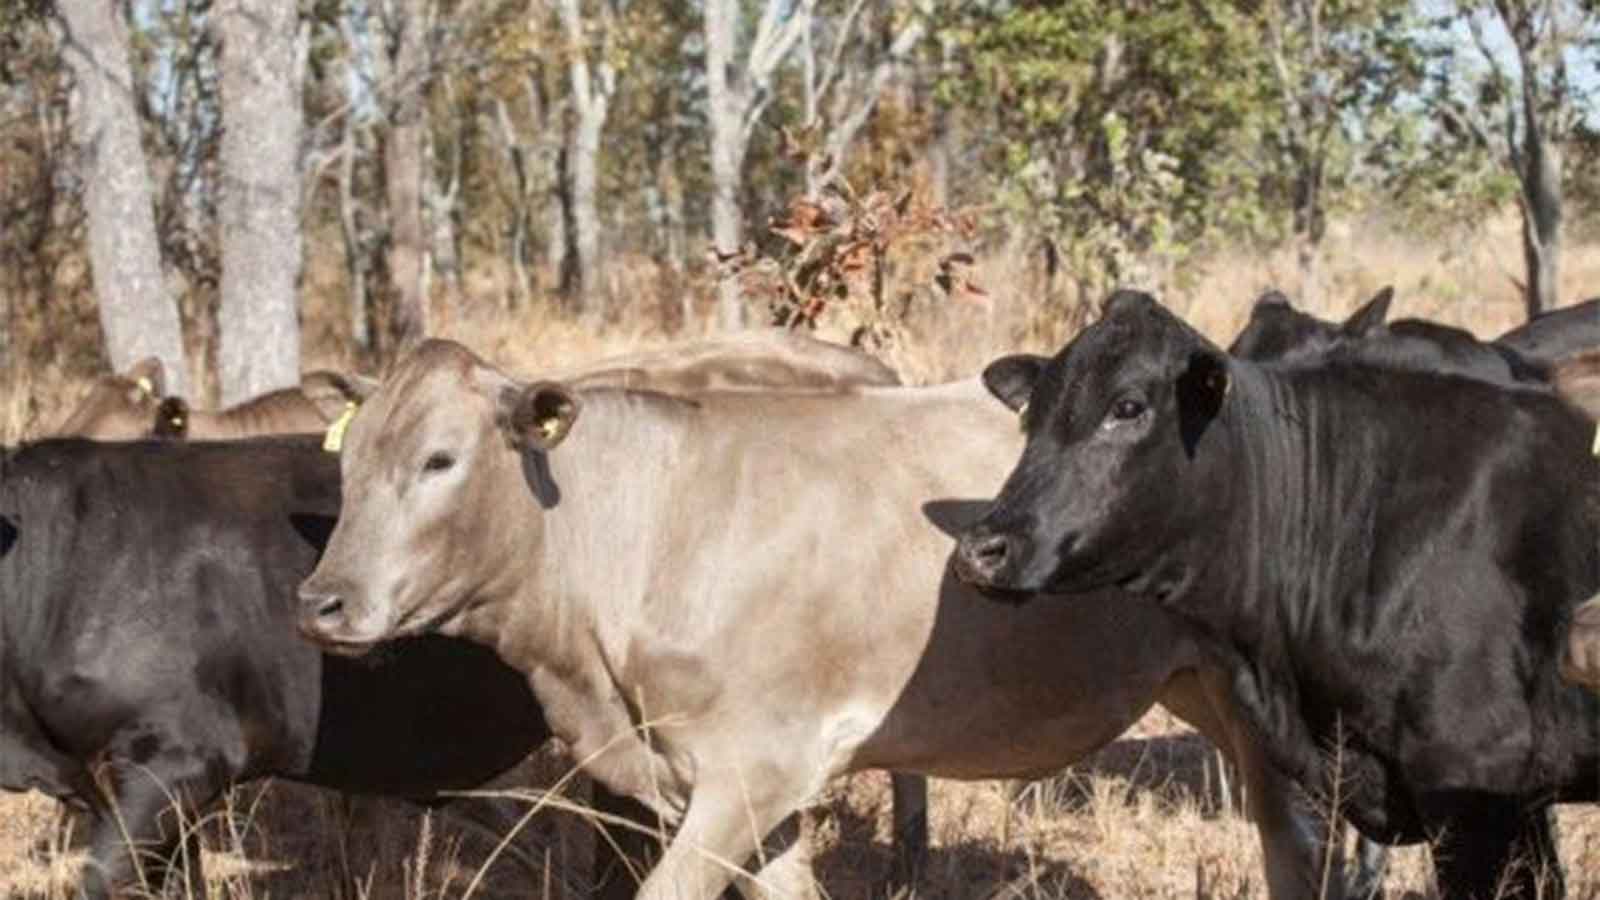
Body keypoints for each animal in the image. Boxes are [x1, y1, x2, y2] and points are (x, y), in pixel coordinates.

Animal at [296, 337, 1371, 900]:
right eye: (348, 460)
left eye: (440, 459)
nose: (321, 602)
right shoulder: (745, 795)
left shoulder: (752, 769)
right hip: (1210, 691)